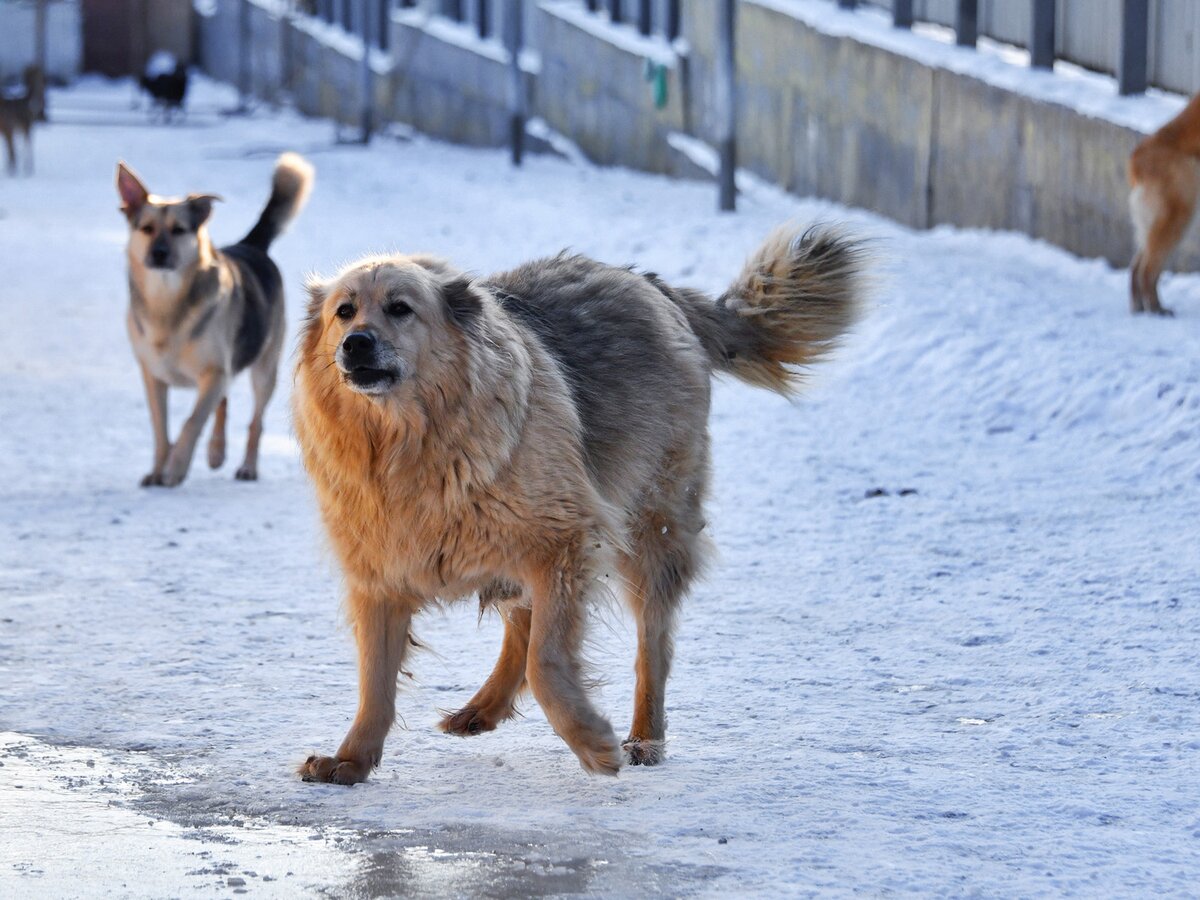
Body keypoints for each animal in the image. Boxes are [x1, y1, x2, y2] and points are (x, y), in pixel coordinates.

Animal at [116, 157, 312, 494]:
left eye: (179, 230)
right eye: (147, 229)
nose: (158, 254)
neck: (168, 305)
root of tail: (251, 246)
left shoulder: (213, 371)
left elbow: (191, 421)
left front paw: (175, 469)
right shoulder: (153, 377)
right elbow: (160, 428)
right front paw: (158, 469)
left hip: (264, 367)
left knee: (255, 421)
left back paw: (247, 467)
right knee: (224, 402)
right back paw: (216, 451)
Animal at [296, 224, 868, 782]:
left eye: (400, 308)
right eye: (344, 311)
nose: (356, 344)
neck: (404, 447)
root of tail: (650, 283)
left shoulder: (564, 542)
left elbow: (547, 661)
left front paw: (593, 743)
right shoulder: (380, 574)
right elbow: (375, 680)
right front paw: (351, 759)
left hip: (650, 531)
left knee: (650, 646)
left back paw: (645, 737)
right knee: (520, 621)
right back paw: (484, 708)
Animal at [1123, 92, 1200, 316]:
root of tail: (1136, 161)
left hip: (1154, 224)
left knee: (1137, 266)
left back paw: (1141, 307)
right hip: (1180, 216)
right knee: (1147, 269)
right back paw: (1156, 309)